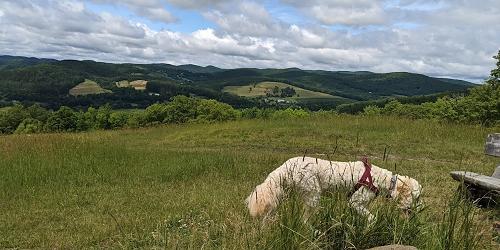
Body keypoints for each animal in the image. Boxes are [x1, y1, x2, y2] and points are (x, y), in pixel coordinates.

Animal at [246, 156, 422, 221]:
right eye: (418, 197)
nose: (421, 209)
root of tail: (285, 166)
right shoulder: (354, 202)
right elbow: (372, 218)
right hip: (313, 195)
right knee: (304, 220)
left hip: (284, 193)